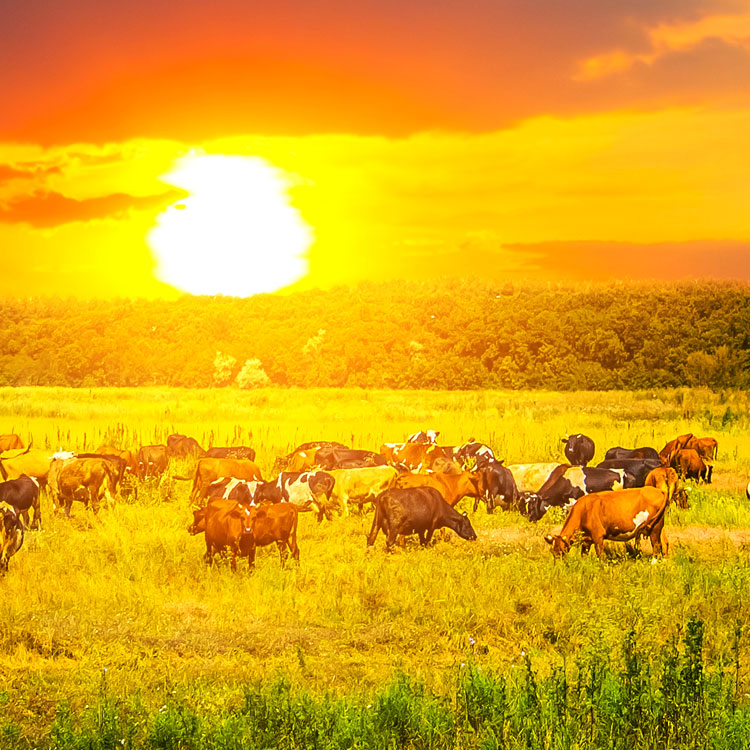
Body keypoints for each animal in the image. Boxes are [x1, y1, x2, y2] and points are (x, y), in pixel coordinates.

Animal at [544, 488, 672, 560]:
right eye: (552, 552)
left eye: (561, 550)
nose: (559, 567)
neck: (584, 511)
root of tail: (657, 490)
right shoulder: (586, 540)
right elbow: (583, 556)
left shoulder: (598, 536)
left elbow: (600, 556)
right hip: (659, 526)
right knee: (664, 543)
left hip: (655, 527)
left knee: (656, 545)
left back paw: (653, 565)